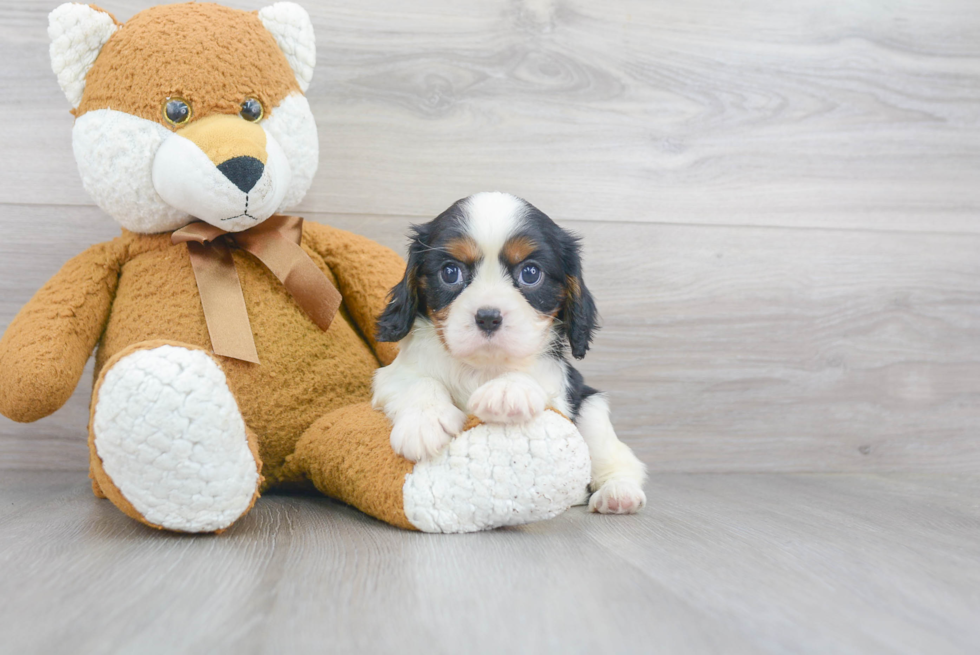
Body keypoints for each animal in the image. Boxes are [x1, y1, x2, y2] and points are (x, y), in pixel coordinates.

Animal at [372, 192, 648, 516]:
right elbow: (418, 382)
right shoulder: (391, 375)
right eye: (450, 272)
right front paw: (424, 421)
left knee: (620, 460)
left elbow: (531, 378)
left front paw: (507, 391)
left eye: (530, 273)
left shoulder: (560, 391)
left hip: (592, 409)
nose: (488, 317)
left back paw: (618, 493)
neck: (482, 366)